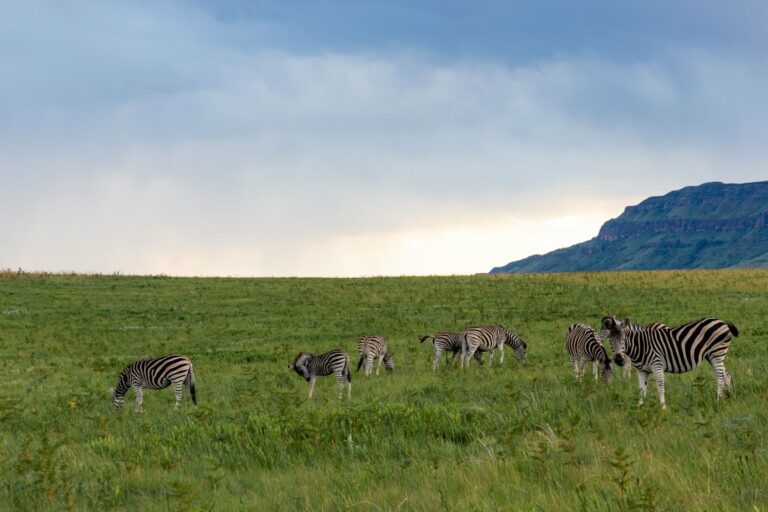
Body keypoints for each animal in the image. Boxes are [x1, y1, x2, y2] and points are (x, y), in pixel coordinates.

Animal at [602, 316, 738, 409]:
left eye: (624, 339)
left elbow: (660, 387)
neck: (641, 345)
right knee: (726, 375)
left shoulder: (657, 364)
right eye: (610, 340)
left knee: (720, 376)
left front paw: (663, 408)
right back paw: (727, 397)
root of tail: (722, 321)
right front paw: (640, 407)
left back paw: (718, 400)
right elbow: (641, 389)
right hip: (712, 356)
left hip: (717, 354)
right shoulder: (642, 370)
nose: (619, 360)